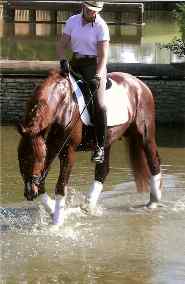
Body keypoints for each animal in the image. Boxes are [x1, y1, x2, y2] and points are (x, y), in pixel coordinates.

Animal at [17, 69, 162, 226]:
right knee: (102, 171)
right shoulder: (51, 147)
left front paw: (57, 222)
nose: (29, 192)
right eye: (20, 157)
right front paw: (53, 210)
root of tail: (140, 84)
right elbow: (42, 183)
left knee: (154, 162)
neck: (62, 105)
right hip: (107, 141)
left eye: (39, 158)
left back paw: (154, 202)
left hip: (145, 136)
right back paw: (87, 207)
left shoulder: (67, 151)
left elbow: (61, 186)